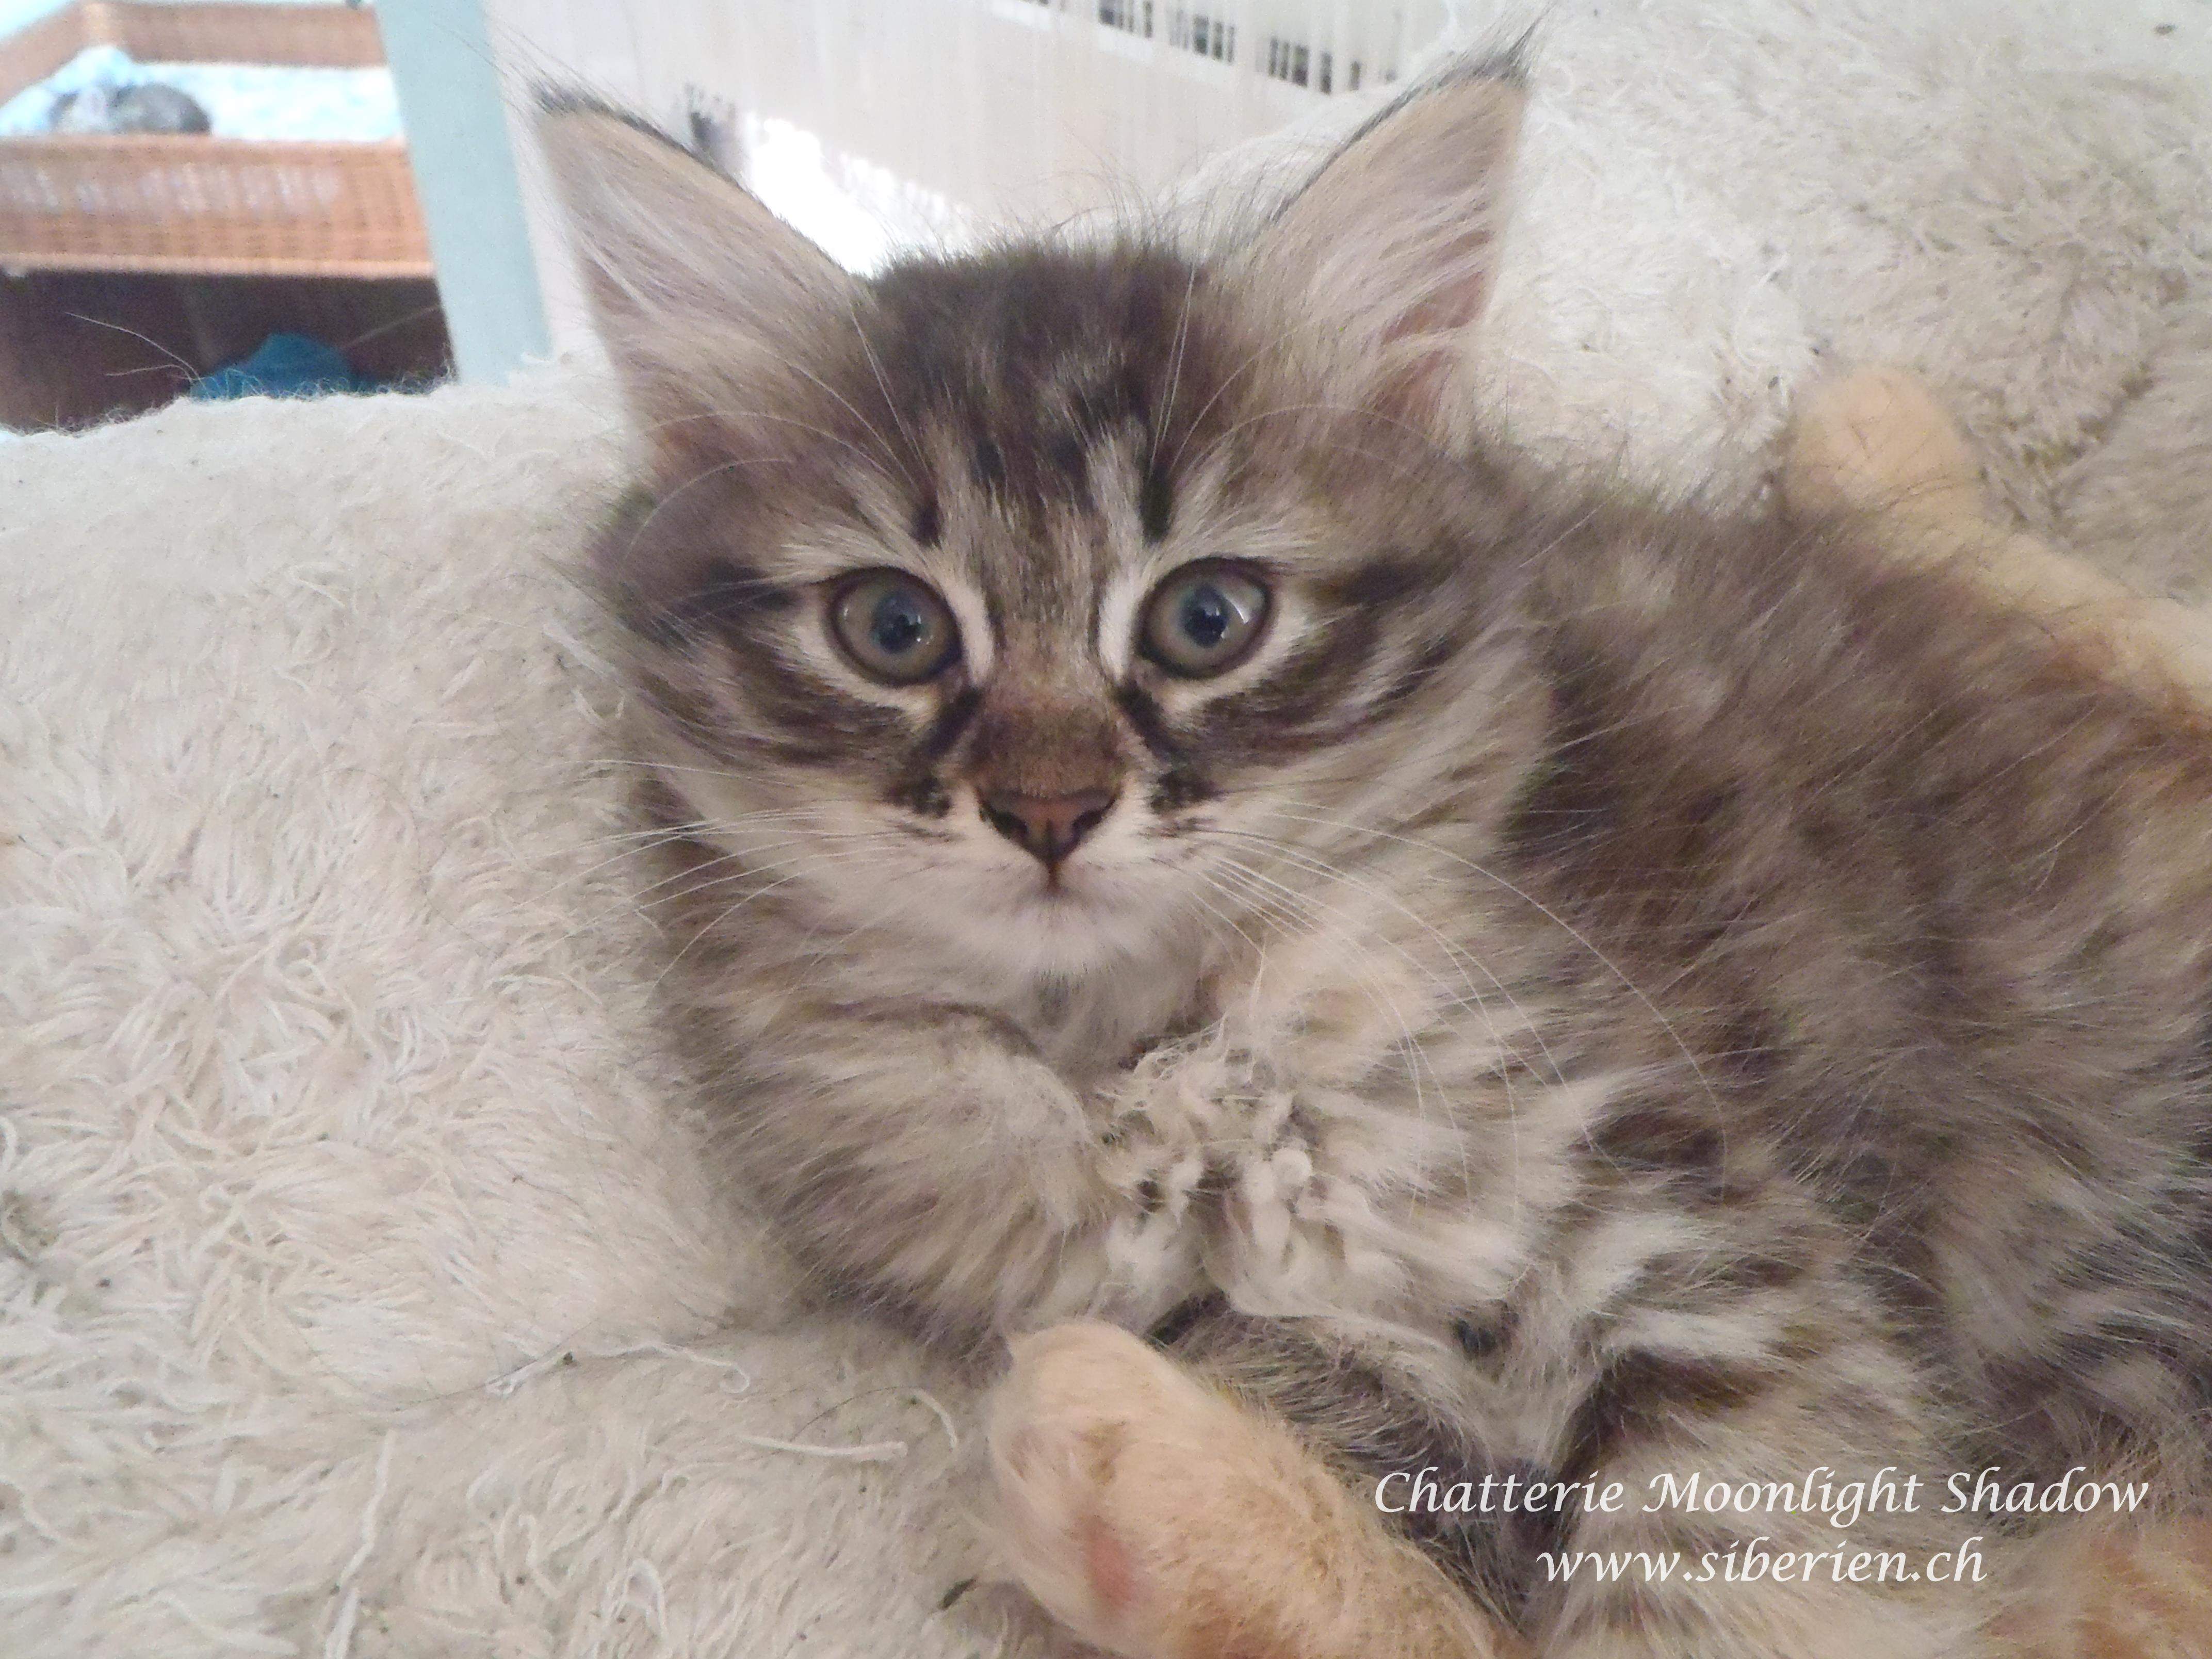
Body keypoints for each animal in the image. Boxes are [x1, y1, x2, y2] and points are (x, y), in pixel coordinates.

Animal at [539, 54, 2212, 1659]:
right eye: (892, 628)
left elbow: (1707, 1598)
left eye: (1204, 619)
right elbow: (1432, 1596)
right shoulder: (1303, 1353)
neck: (1151, 1052)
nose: (1049, 810)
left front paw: (1123, 1475)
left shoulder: (1695, 1265)